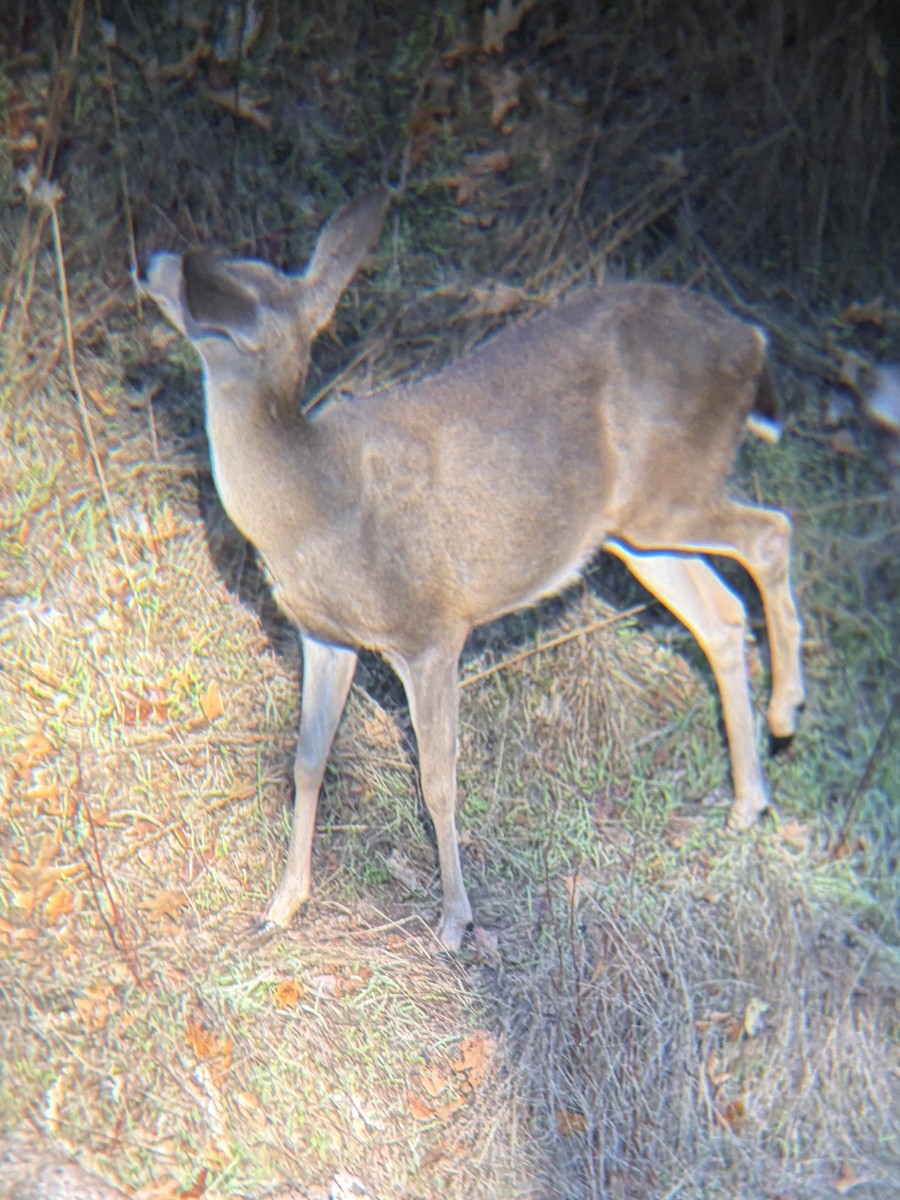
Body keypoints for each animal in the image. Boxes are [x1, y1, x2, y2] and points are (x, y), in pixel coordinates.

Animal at [143, 188, 804, 950]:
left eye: (211, 298)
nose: (151, 262)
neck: (312, 501)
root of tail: (752, 340)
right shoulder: (324, 634)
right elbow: (308, 761)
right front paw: (281, 904)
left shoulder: (431, 627)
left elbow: (437, 777)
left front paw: (455, 918)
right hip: (638, 529)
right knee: (721, 614)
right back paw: (748, 801)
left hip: (671, 495)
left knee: (772, 534)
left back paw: (787, 713)